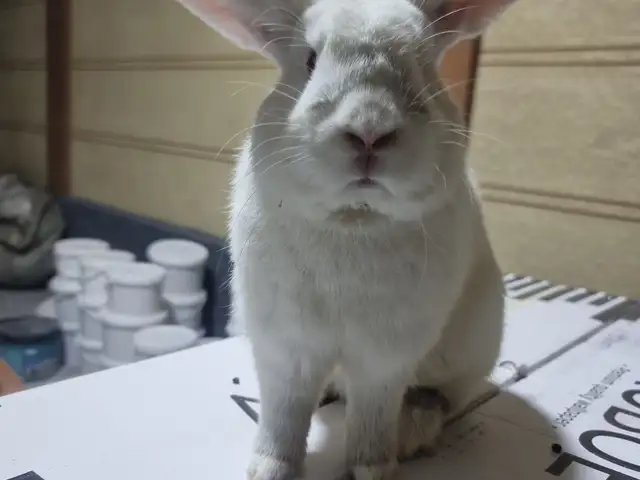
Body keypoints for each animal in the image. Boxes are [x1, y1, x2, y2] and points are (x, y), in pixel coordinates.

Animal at [178, 0, 518, 479]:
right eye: (309, 60)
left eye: (422, 63)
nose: (370, 131)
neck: (354, 217)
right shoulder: (286, 347)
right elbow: (283, 413)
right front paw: (270, 469)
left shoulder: (385, 357)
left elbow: (372, 416)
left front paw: (372, 469)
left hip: (468, 352)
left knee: (440, 396)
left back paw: (413, 430)